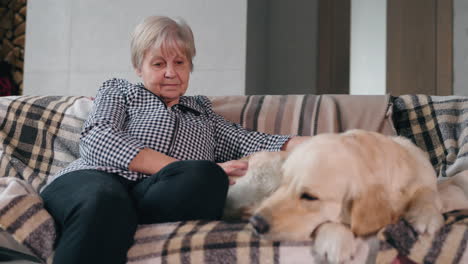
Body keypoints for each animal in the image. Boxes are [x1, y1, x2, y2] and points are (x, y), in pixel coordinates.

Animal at [250, 130, 444, 264]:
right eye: (282, 183)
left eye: (309, 197)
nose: (255, 222)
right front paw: (336, 239)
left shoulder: (423, 175)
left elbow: (427, 192)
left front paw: (426, 215)